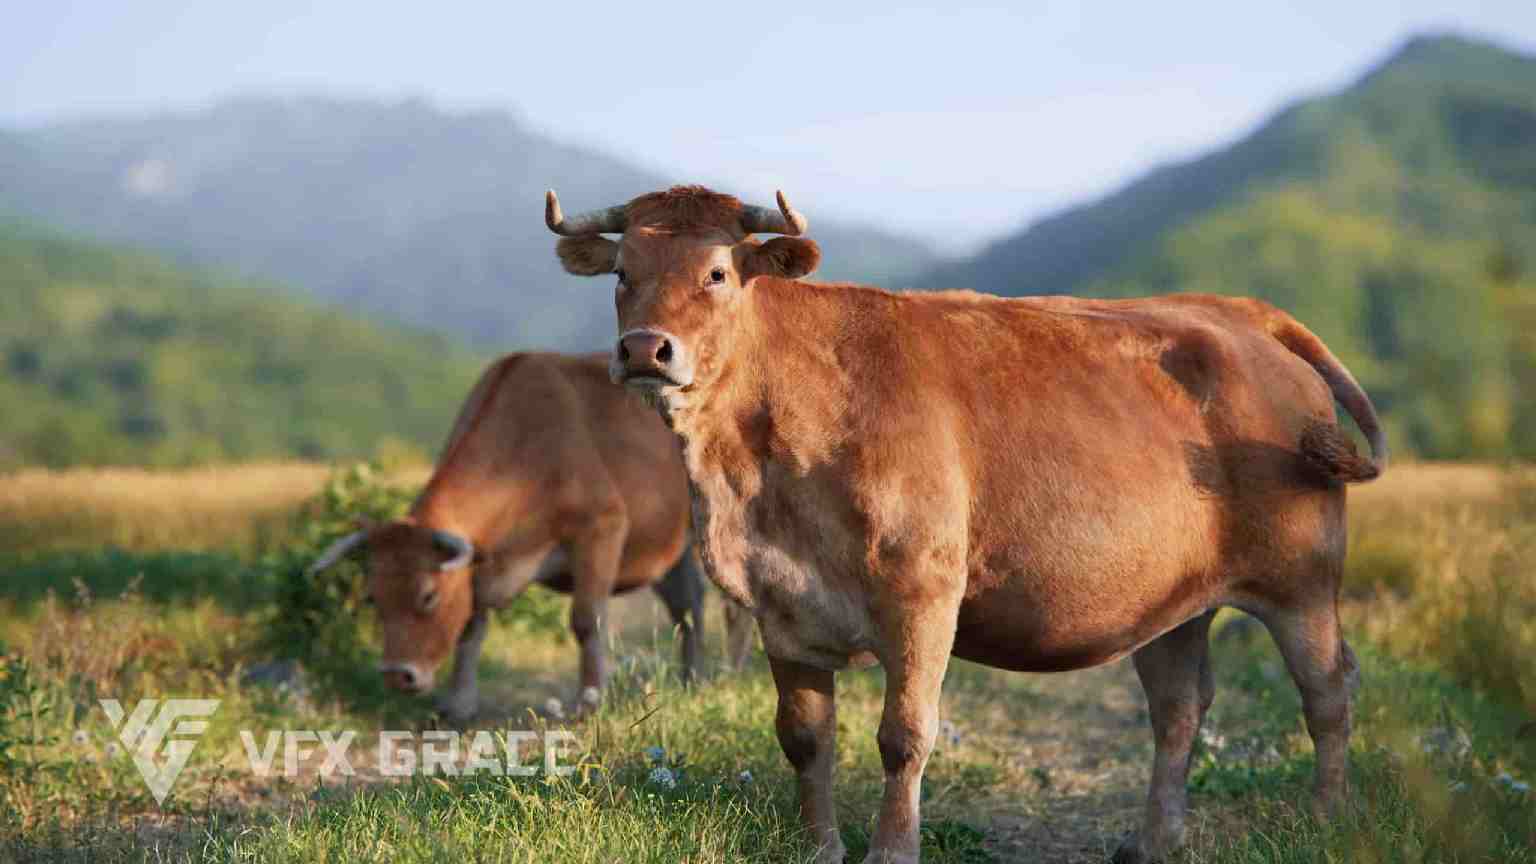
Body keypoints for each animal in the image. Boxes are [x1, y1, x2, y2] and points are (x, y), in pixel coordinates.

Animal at [307, 352, 752, 721]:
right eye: (373, 597)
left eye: (428, 595)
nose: (398, 675)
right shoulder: (479, 567)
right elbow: (471, 628)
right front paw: (459, 703)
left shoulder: (602, 527)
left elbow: (586, 620)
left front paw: (589, 701)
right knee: (688, 606)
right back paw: (691, 681)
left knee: (733, 607)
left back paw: (728, 675)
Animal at [546, 185, 1387, 864]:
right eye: (623, 276)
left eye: (717, 273)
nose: (645, 349)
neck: (754, 471)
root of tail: (1237, 313)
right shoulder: (779, 602)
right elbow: (805, 738)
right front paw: (820, 848)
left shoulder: (922, 591)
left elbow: (904, 735)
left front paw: (892, 850)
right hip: (1175, 600)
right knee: (1179, 708)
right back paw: (1153, 841)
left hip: (1302, 580)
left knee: (1327, 692)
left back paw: (1328, 821)